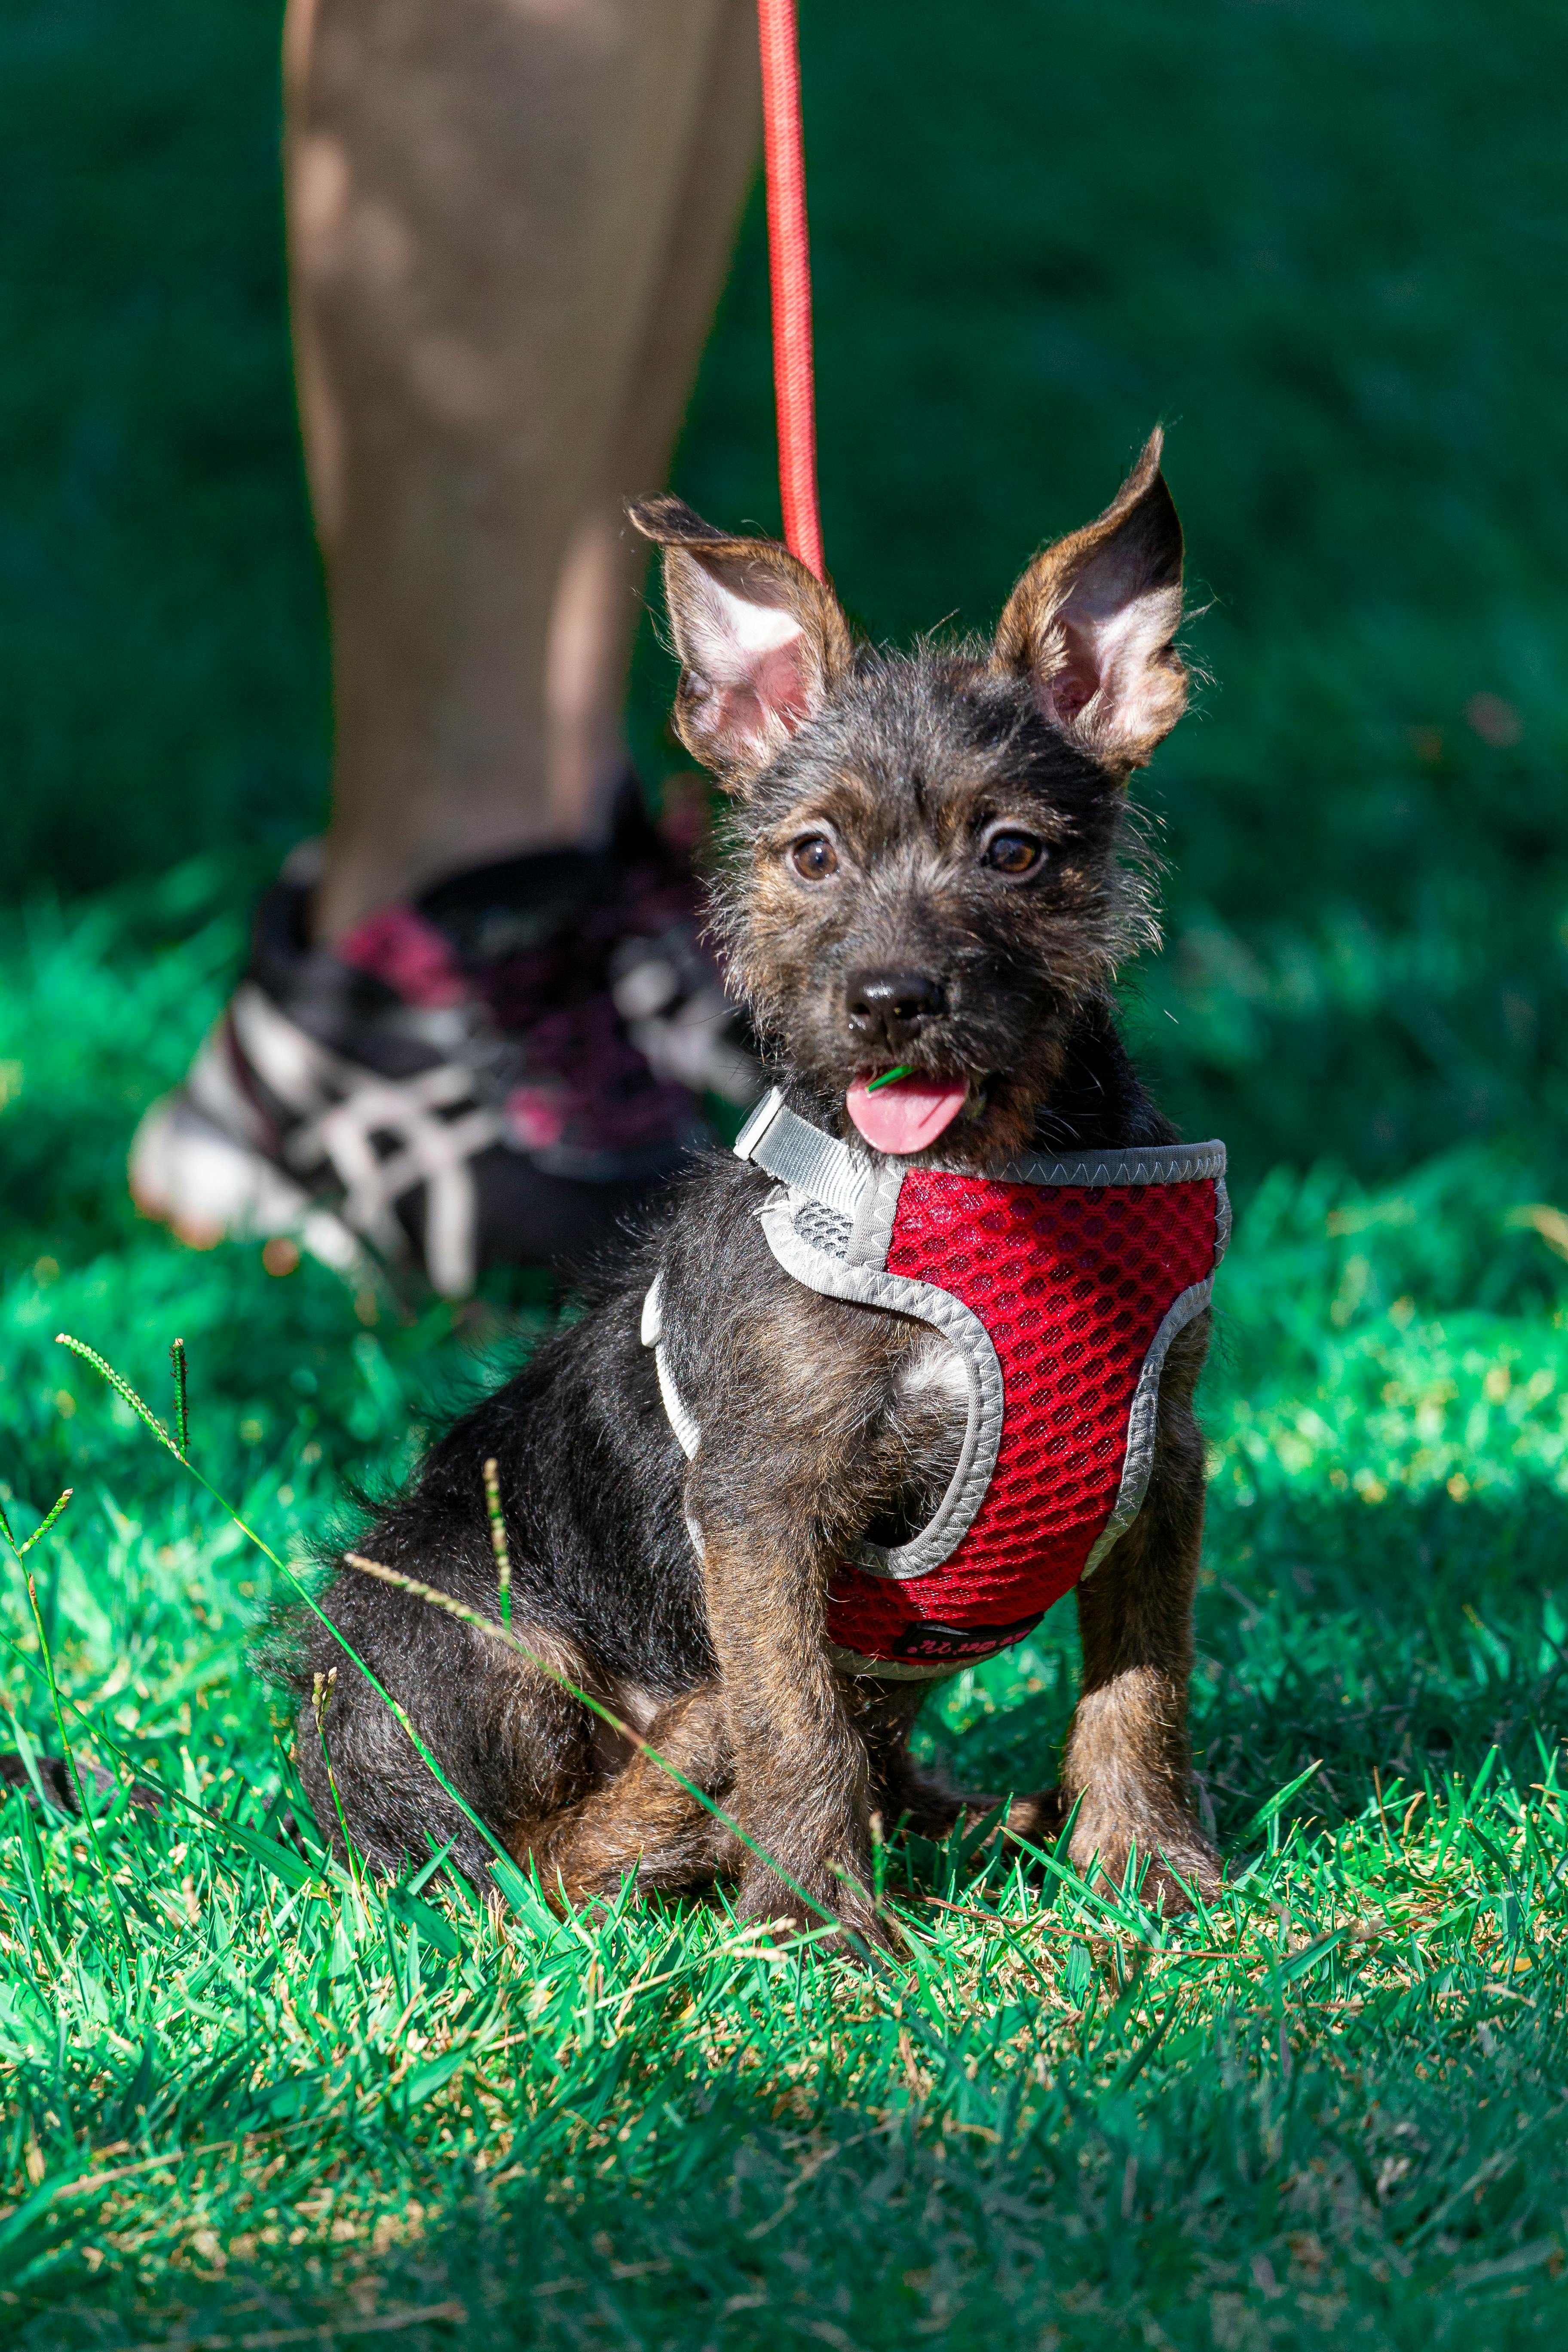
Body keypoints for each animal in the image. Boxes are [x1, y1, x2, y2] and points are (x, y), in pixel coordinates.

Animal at [291, 432, 1222, 1938]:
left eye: (1012, 852)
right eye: (814, 855)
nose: (890, 999)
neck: (983, 1179)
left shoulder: (1159, 1463)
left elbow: (1143, 1683)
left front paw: (1147, 1863)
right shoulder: (759, 1501)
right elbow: (798, 1717)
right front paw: (812, 1918)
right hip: (490, 1630)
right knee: (534, 1869)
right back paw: (695, 1778)